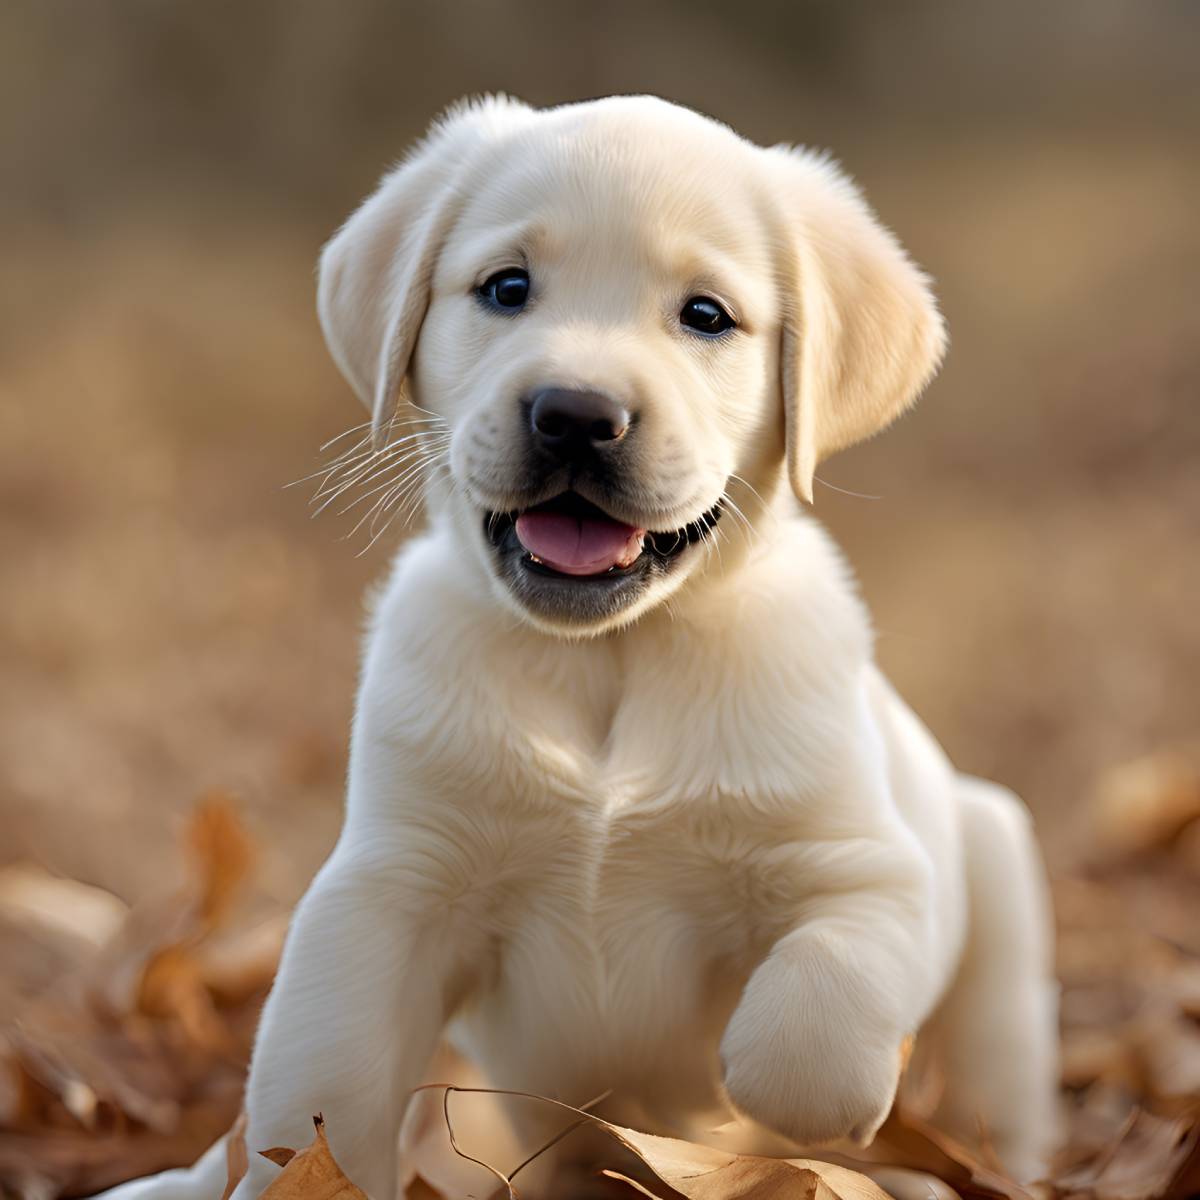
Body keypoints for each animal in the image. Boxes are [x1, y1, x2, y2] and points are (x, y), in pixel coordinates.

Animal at [103, 96, 1060, 1200]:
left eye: (706, 315)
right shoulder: (389, 889)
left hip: (995, 866)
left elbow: (808, 1038)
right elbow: (316, 1088)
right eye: (506, 288)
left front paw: (749, 1113)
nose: (575, 415)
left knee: (999, 1081)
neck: (613, 659)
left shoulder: (866, 867)